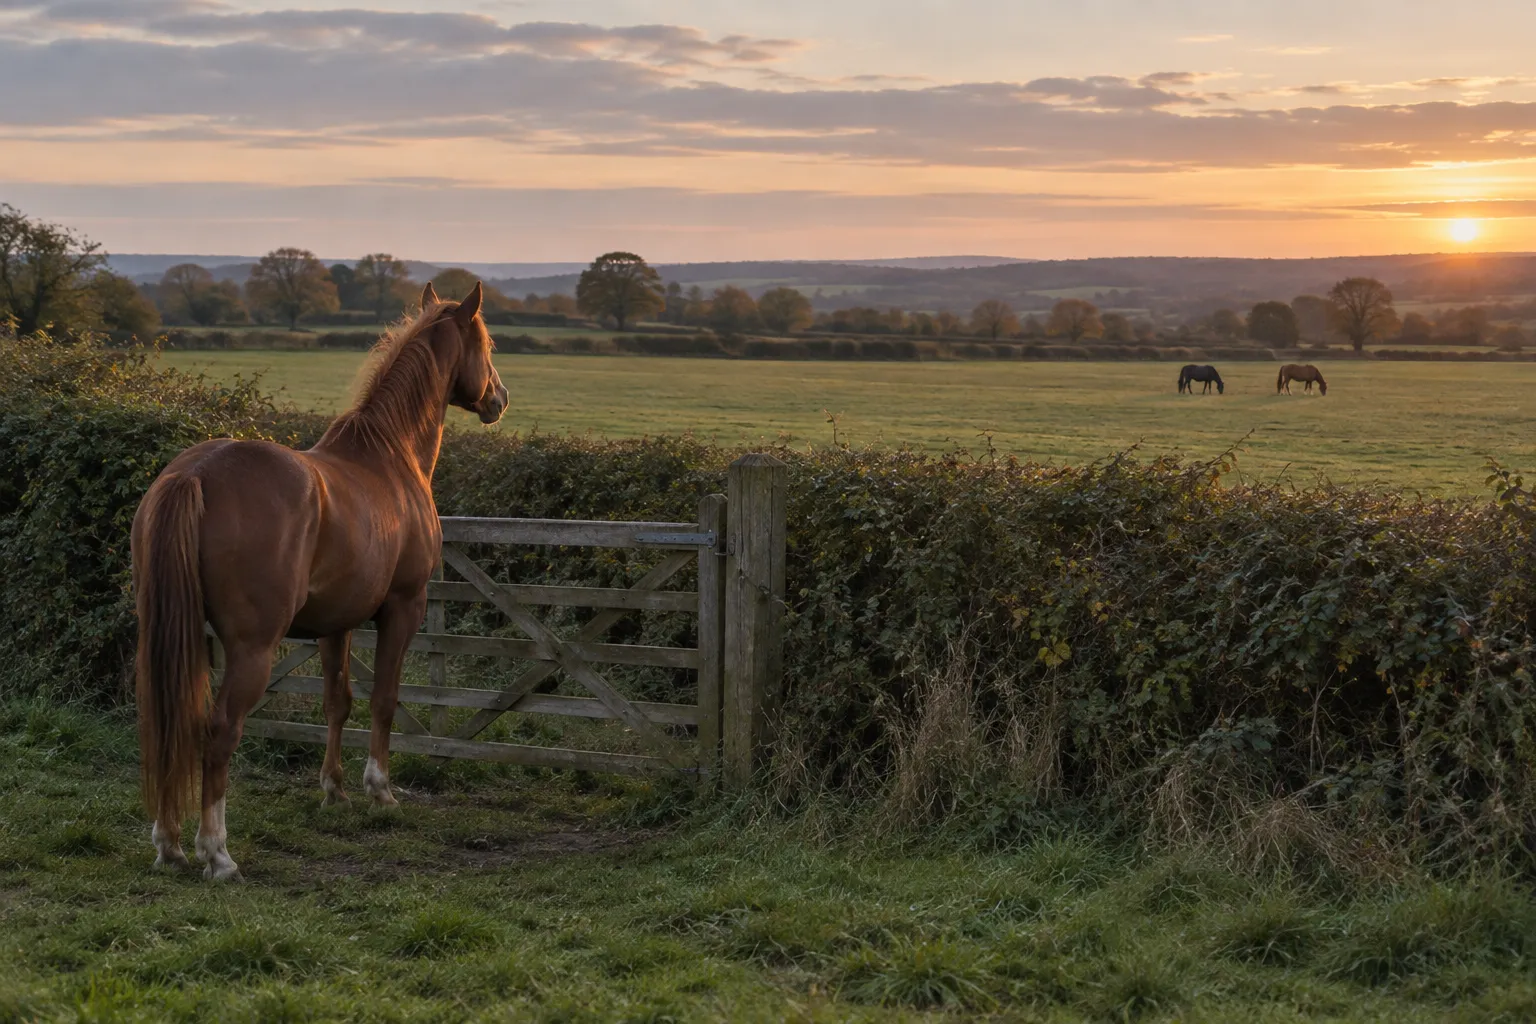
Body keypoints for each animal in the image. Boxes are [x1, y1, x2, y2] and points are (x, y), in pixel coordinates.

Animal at [131, 282, 507, 881]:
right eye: (487, 343)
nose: (499, 398)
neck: (390, 456)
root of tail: (193, 474)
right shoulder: (404, 607)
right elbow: (384, 699)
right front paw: (379, 791)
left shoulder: (336, 623)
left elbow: (338, 702)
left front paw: (334, 791)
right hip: (253, 649)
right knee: (219, 731)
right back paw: (217, 853)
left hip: (168, 634)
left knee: (168, 721)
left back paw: (168, 844)